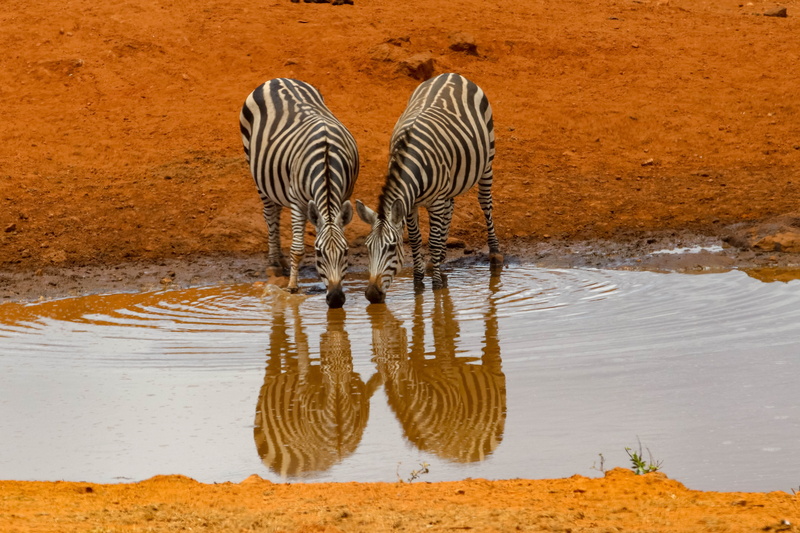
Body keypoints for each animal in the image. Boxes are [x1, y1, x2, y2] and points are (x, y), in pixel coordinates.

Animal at [240, 78, 359, 308]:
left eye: (346, 252)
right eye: (319, 253)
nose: (336, 299)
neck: (326, 159)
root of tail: (278, 79)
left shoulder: (345, 194)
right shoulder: (297, 201)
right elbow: (297, 248)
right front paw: (292, 287)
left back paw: (280, 260)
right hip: (257, 170)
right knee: (270, 214)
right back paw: (275, 263)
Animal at [355, 73, 502, 304]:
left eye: (391, 248)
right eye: (368, 248)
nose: (372, 294)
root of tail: (451, 74)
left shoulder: (435, 201)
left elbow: (431, 241)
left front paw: (436, 284)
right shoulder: (410, 204)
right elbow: (416, 241)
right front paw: (418, 281)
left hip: (487, 159)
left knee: (485, 202)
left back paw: (494, 253)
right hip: (450, 182)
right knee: (450, 208)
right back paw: (437, 260)